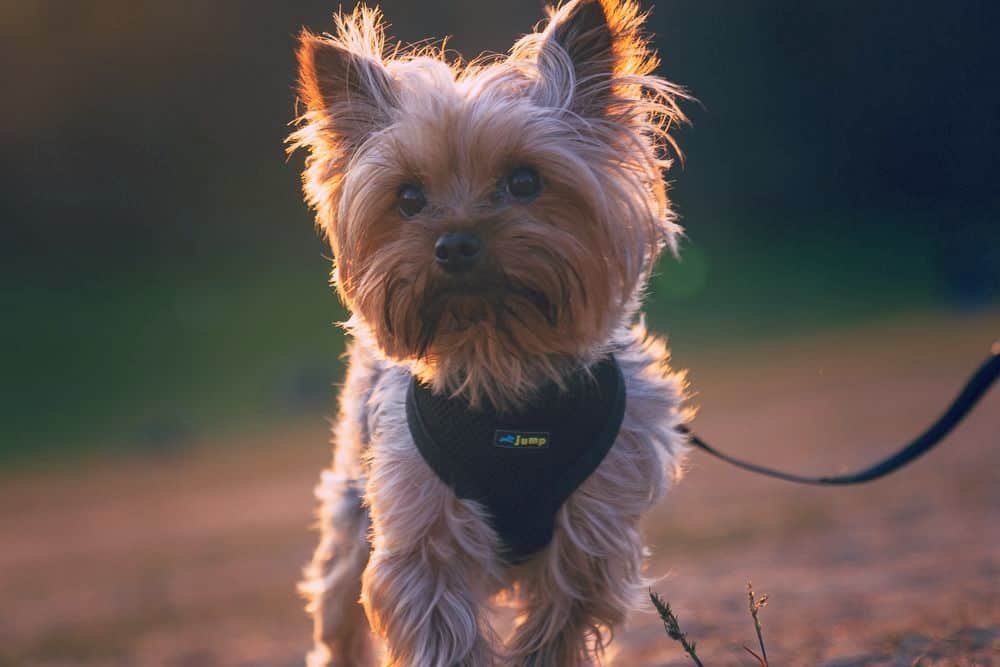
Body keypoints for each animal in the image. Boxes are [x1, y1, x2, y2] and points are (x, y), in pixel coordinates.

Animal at [292, 2, 692, 664]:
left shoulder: (593, 535)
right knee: (338, 600)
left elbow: (556, 625)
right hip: (352, 512)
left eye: (525, 181)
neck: (502, 368)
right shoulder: (419, 530)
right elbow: (439, 626)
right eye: (408, 197)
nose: (455, 243)